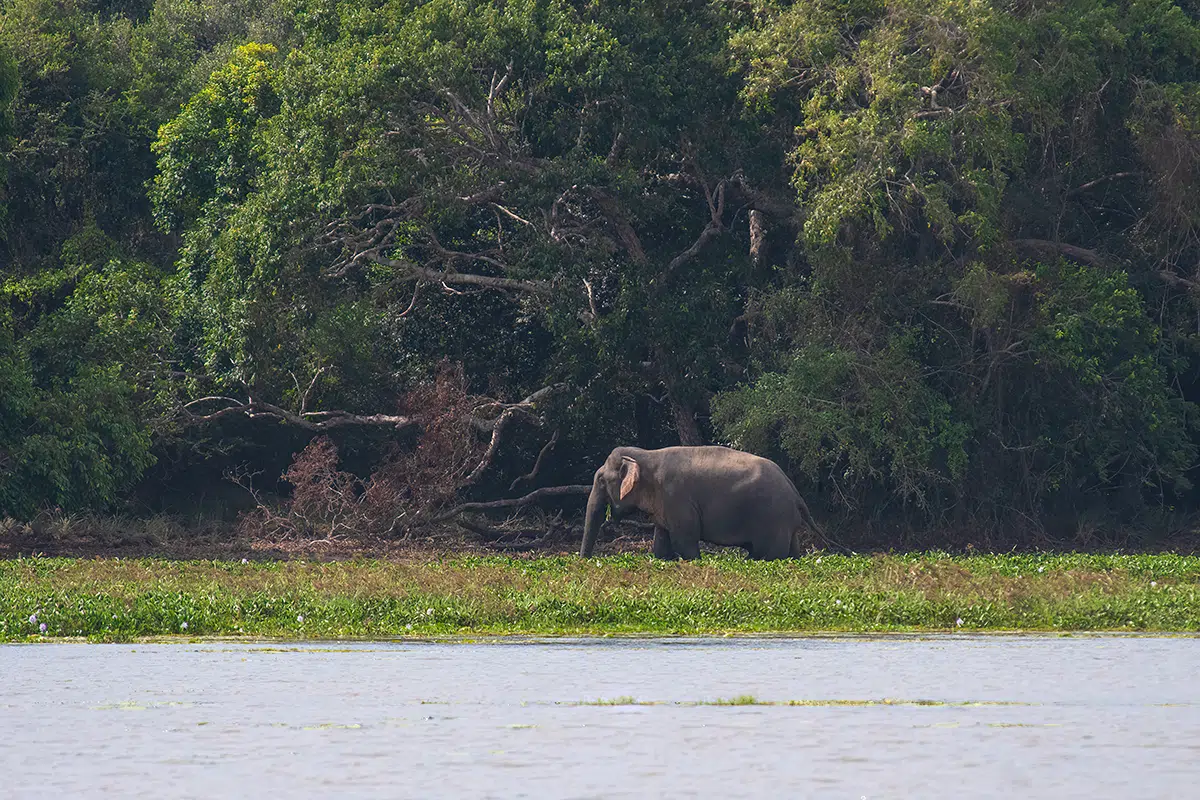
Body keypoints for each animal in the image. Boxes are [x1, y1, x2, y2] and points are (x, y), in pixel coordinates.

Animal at [579, 445, 823, 561]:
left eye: (601, 480)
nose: (584, 561)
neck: (646, 454)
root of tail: (795, 492)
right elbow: (661, 547)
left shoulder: (676, 498)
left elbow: (685, 543)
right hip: (785, 524)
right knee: (791, 554)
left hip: (773, 519)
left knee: (767, 554)